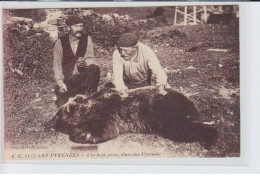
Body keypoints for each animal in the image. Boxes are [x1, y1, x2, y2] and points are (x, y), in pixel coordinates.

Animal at [46, 86, 217, 149]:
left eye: (57, 116)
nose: (48, 122)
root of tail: (191, 102)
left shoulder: (109, 111)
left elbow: (105, 130)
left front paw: (79, 135)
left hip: (168, 112)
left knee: (184, 128)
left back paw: (210, 138)